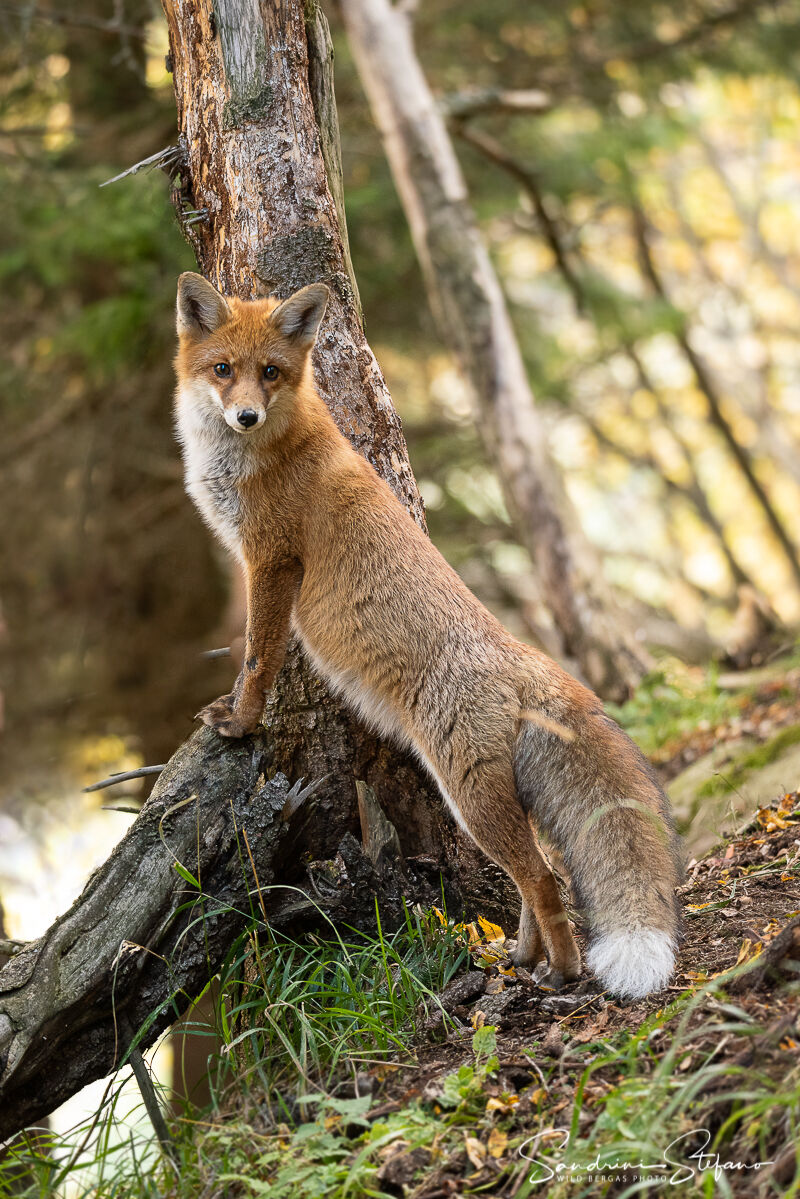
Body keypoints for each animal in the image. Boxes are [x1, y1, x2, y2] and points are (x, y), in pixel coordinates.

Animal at [173, 271, 683, 1000]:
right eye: (223, 370)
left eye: (269, 373)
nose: (245, 415)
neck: (258, 452)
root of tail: (532, 662)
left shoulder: (271, 562)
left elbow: (257, 658)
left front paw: (241, 722)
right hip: (485, 801)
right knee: (540, 873)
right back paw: (521, 958)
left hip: (467, 796)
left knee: (543, 878)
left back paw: (560, 972)